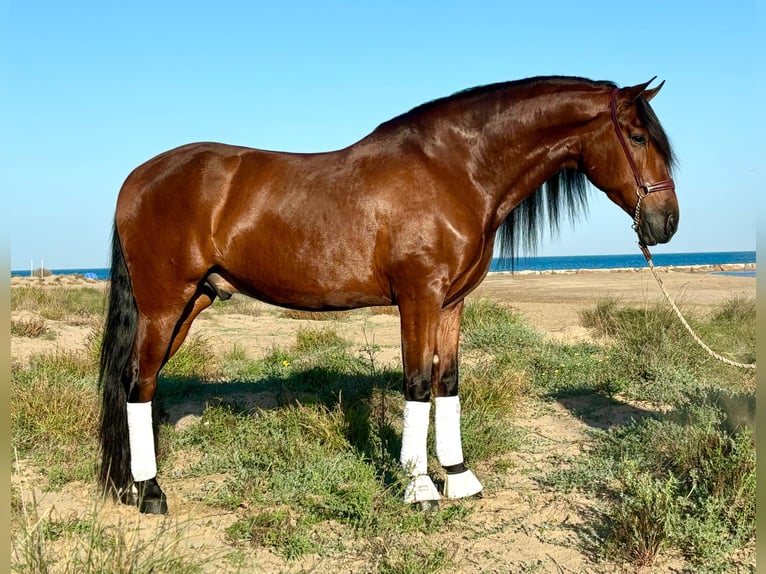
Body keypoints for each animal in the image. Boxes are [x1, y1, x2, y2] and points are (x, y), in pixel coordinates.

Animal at [97, 76, 680, 516]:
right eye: (638, 136)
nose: (667, 222)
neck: (455, 170)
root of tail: (137, 179)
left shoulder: (451, 304)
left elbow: (447, 383)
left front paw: (459, 477)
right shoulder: (419, 298)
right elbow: (418, 383)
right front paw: (419, 488)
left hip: (193, 300)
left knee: (133, 381)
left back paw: (129, 483)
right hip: (164, 304)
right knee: (139, 384)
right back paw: (152, 493)